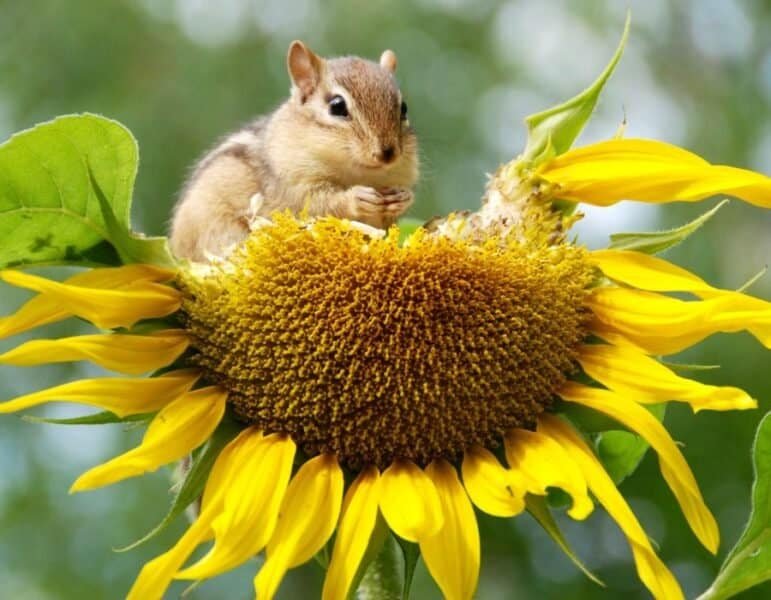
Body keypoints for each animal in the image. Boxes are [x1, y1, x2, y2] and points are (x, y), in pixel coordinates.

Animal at [169, 41, 419, 261]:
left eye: (404, 108)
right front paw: (356, 197)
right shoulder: (294, 185)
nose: (387, 153)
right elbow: (319, 204)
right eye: (337, 106)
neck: (360, 173)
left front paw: (403, 198)